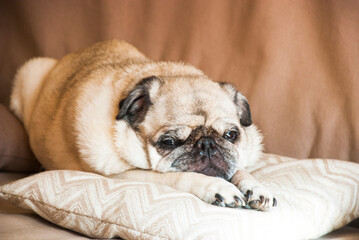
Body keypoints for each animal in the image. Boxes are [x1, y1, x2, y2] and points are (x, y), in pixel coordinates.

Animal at [10, 40, 276, 211]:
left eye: (231, 135)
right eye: (168, 142)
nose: (208, 144)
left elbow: (240, 169)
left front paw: (256, 187)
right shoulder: (122, 175)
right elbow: (179, 177)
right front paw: (216, 186)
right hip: (29, 71)